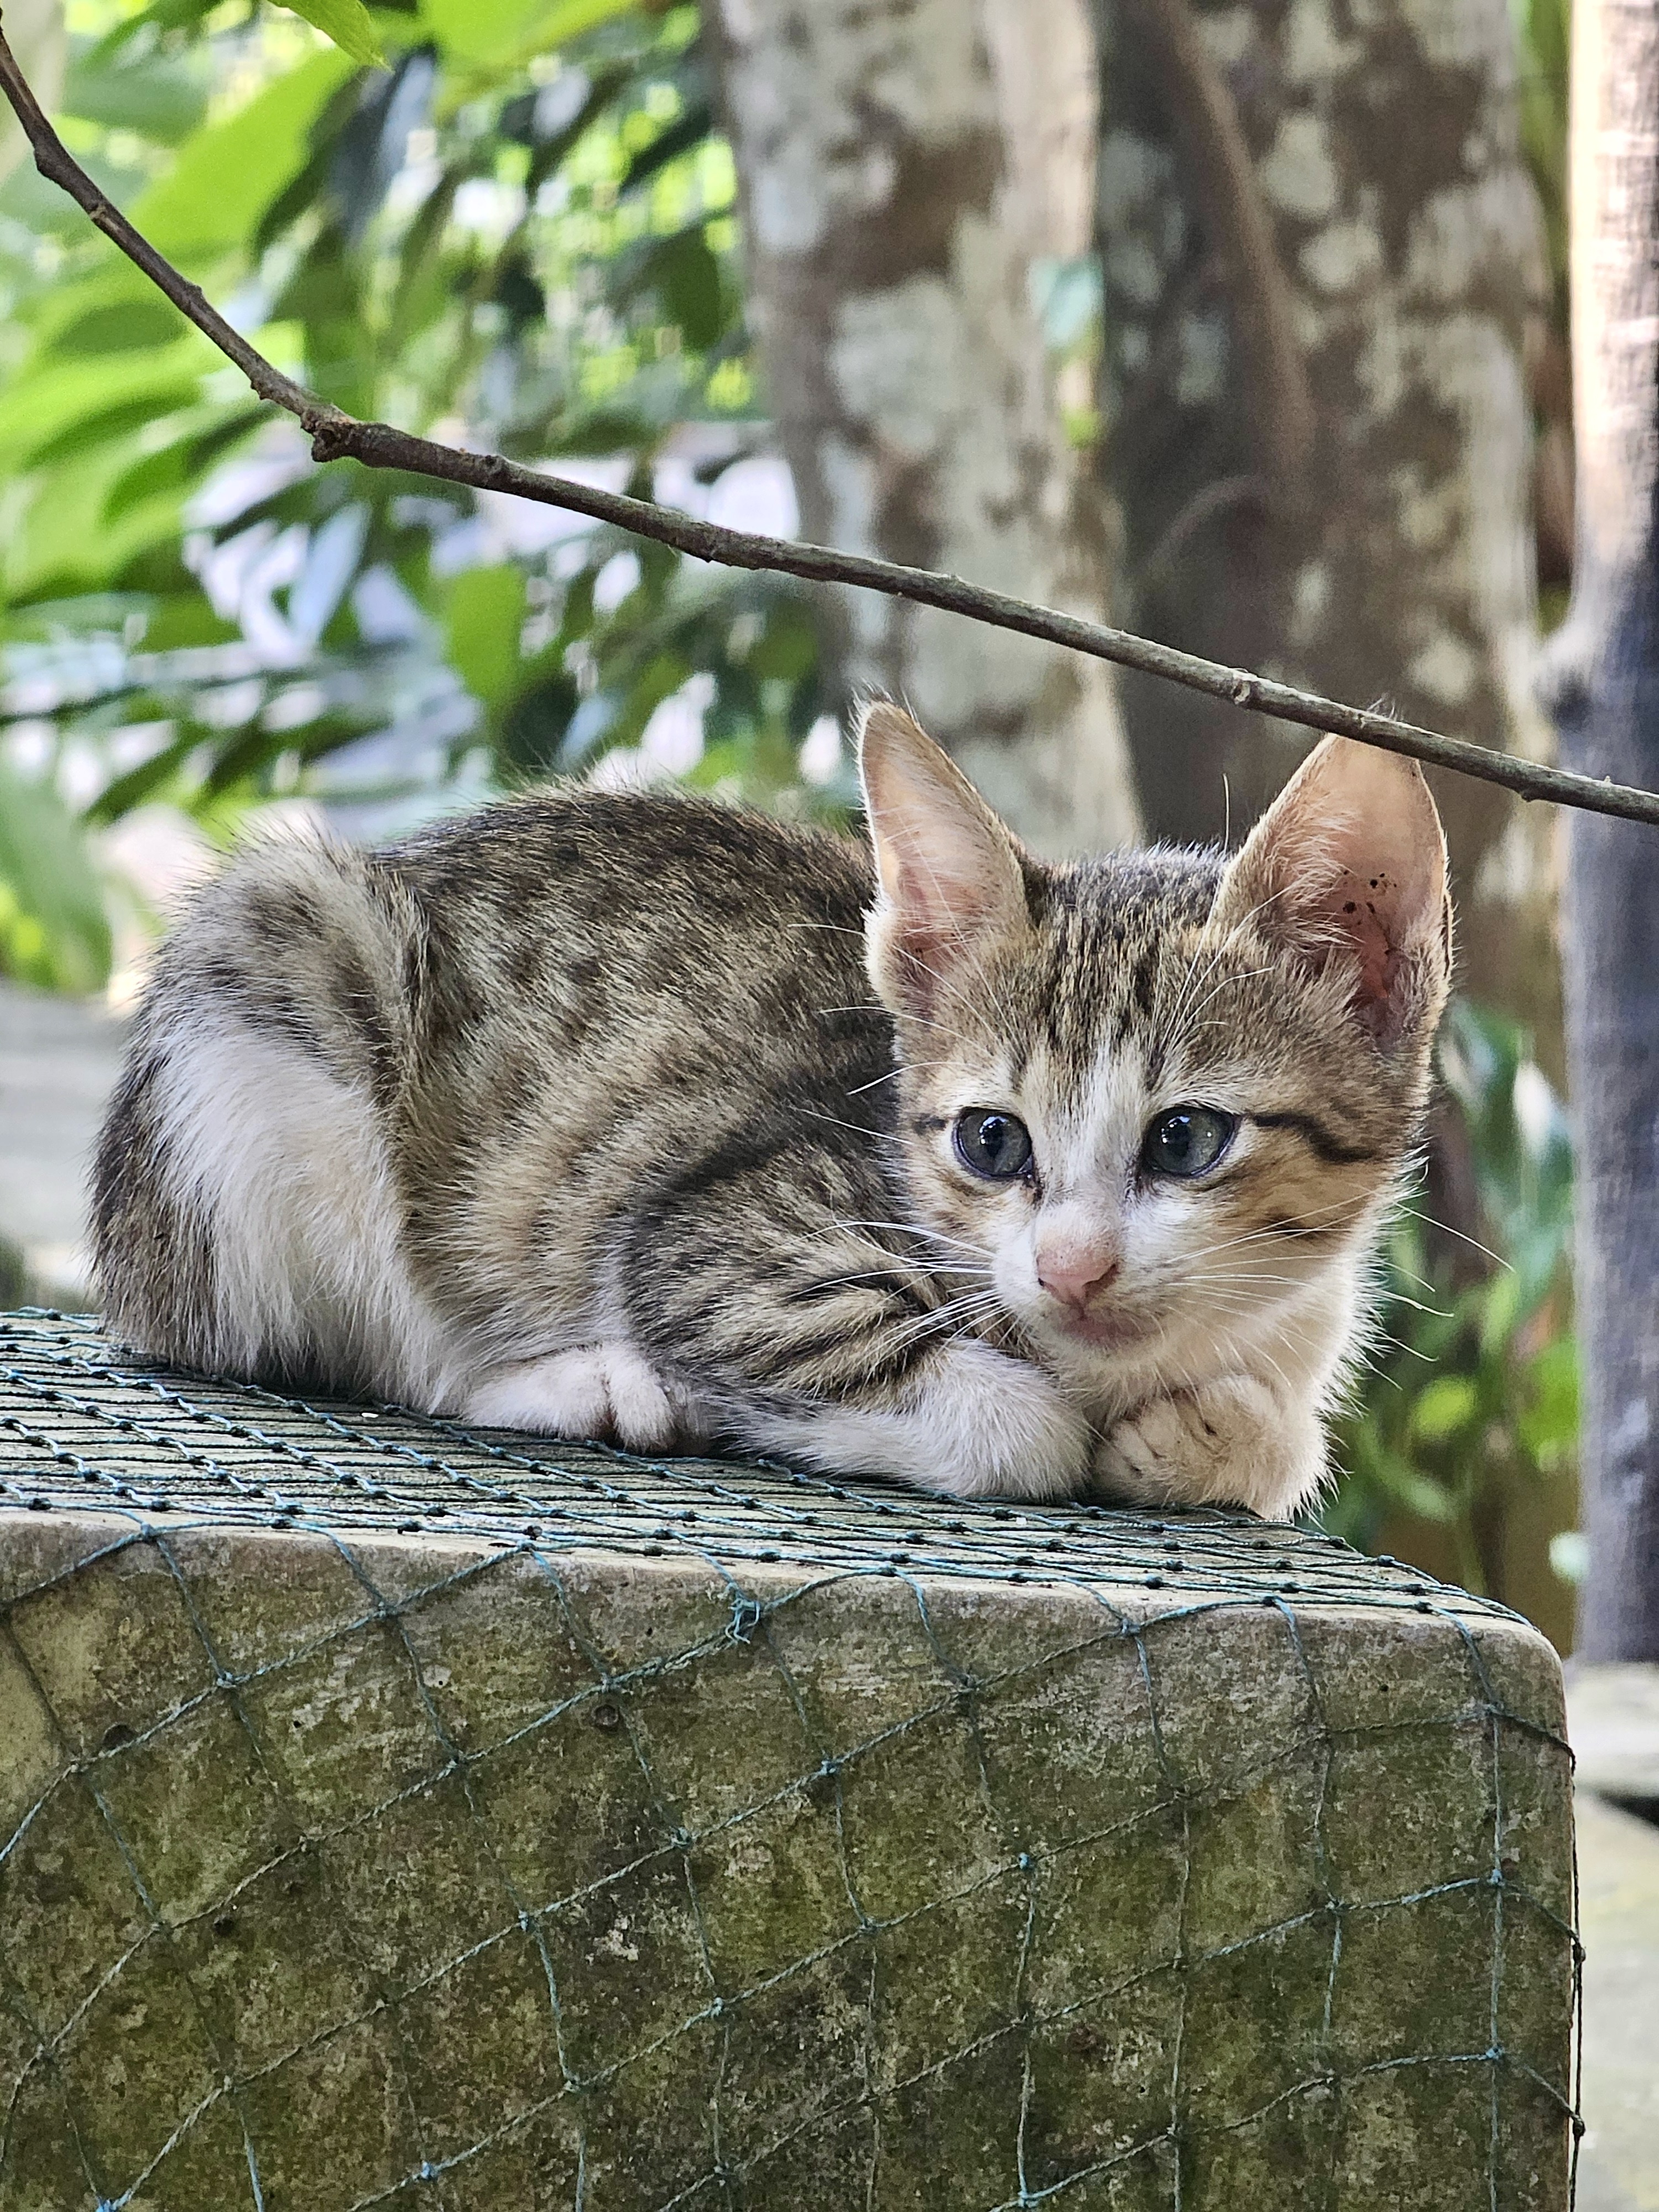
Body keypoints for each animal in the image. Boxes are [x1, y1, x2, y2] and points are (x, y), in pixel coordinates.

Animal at [91, 708, 1451, 1522]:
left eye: (1185, 1139)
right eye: (992, 1141)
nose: (1070, 1271)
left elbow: (1282, 1436)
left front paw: (1210, 1431)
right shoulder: (710, 1240)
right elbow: (1021, 1425)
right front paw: (1062, 1419)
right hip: (282, 965)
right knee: (379, 1343)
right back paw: (592, 1384)